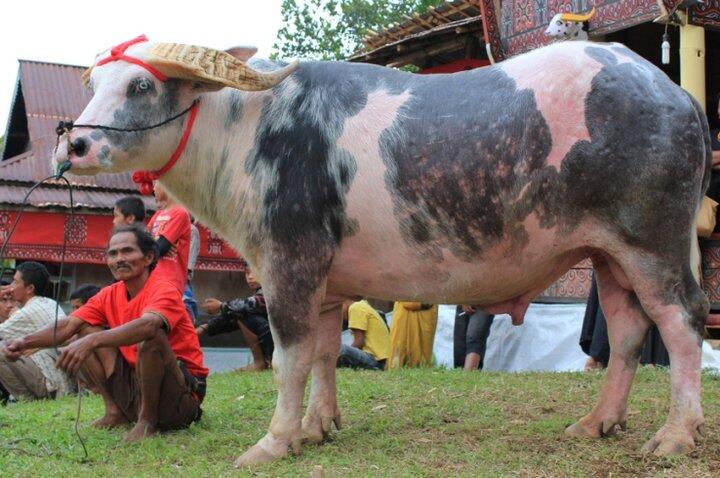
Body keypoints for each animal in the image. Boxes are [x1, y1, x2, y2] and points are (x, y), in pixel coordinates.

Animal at [54, 38, 708, 466]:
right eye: (95, 85)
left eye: (140, 84)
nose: (75, 145)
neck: (248, 132)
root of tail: (673, 91)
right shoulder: (327, 285)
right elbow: (323, 353)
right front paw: (317, 428)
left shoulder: (290, 267)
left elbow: (290, 359)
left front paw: (272, 442)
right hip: (608, 257)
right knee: (626, 332)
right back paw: (597, 423)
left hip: (654, 246)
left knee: (682, 324)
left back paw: (676, 436)